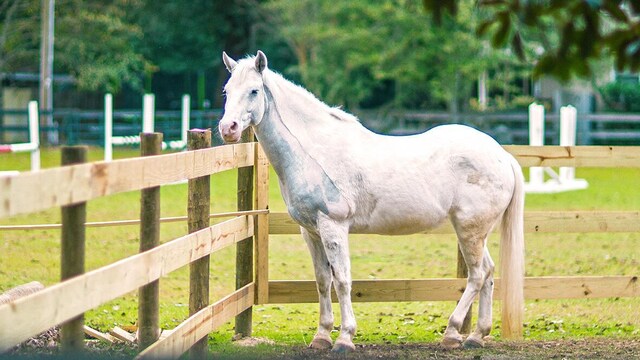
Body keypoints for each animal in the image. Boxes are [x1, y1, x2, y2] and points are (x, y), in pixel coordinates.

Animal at [218, 50, 524, 352]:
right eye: (227, 90)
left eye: (254, 90)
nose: (228, 128)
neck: (313, 152)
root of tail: (502, 156)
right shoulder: (311, 232)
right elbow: (322, 281)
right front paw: (322, 336)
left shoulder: (334, 227)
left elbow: (342, 281)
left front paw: (344, 339)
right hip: (474, 232)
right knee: (488, 272)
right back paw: (476, 336)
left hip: (469, 230)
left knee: (477, 275)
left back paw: (452, 332)